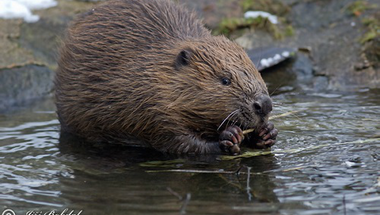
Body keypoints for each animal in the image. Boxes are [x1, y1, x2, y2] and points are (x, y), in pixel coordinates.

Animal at [55, 0, 278, 155]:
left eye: (256, 72)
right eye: (225, 80)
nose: (264, 104)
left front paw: (266, 132)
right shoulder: (152, 108)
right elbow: (178, 142)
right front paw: (229, 137)